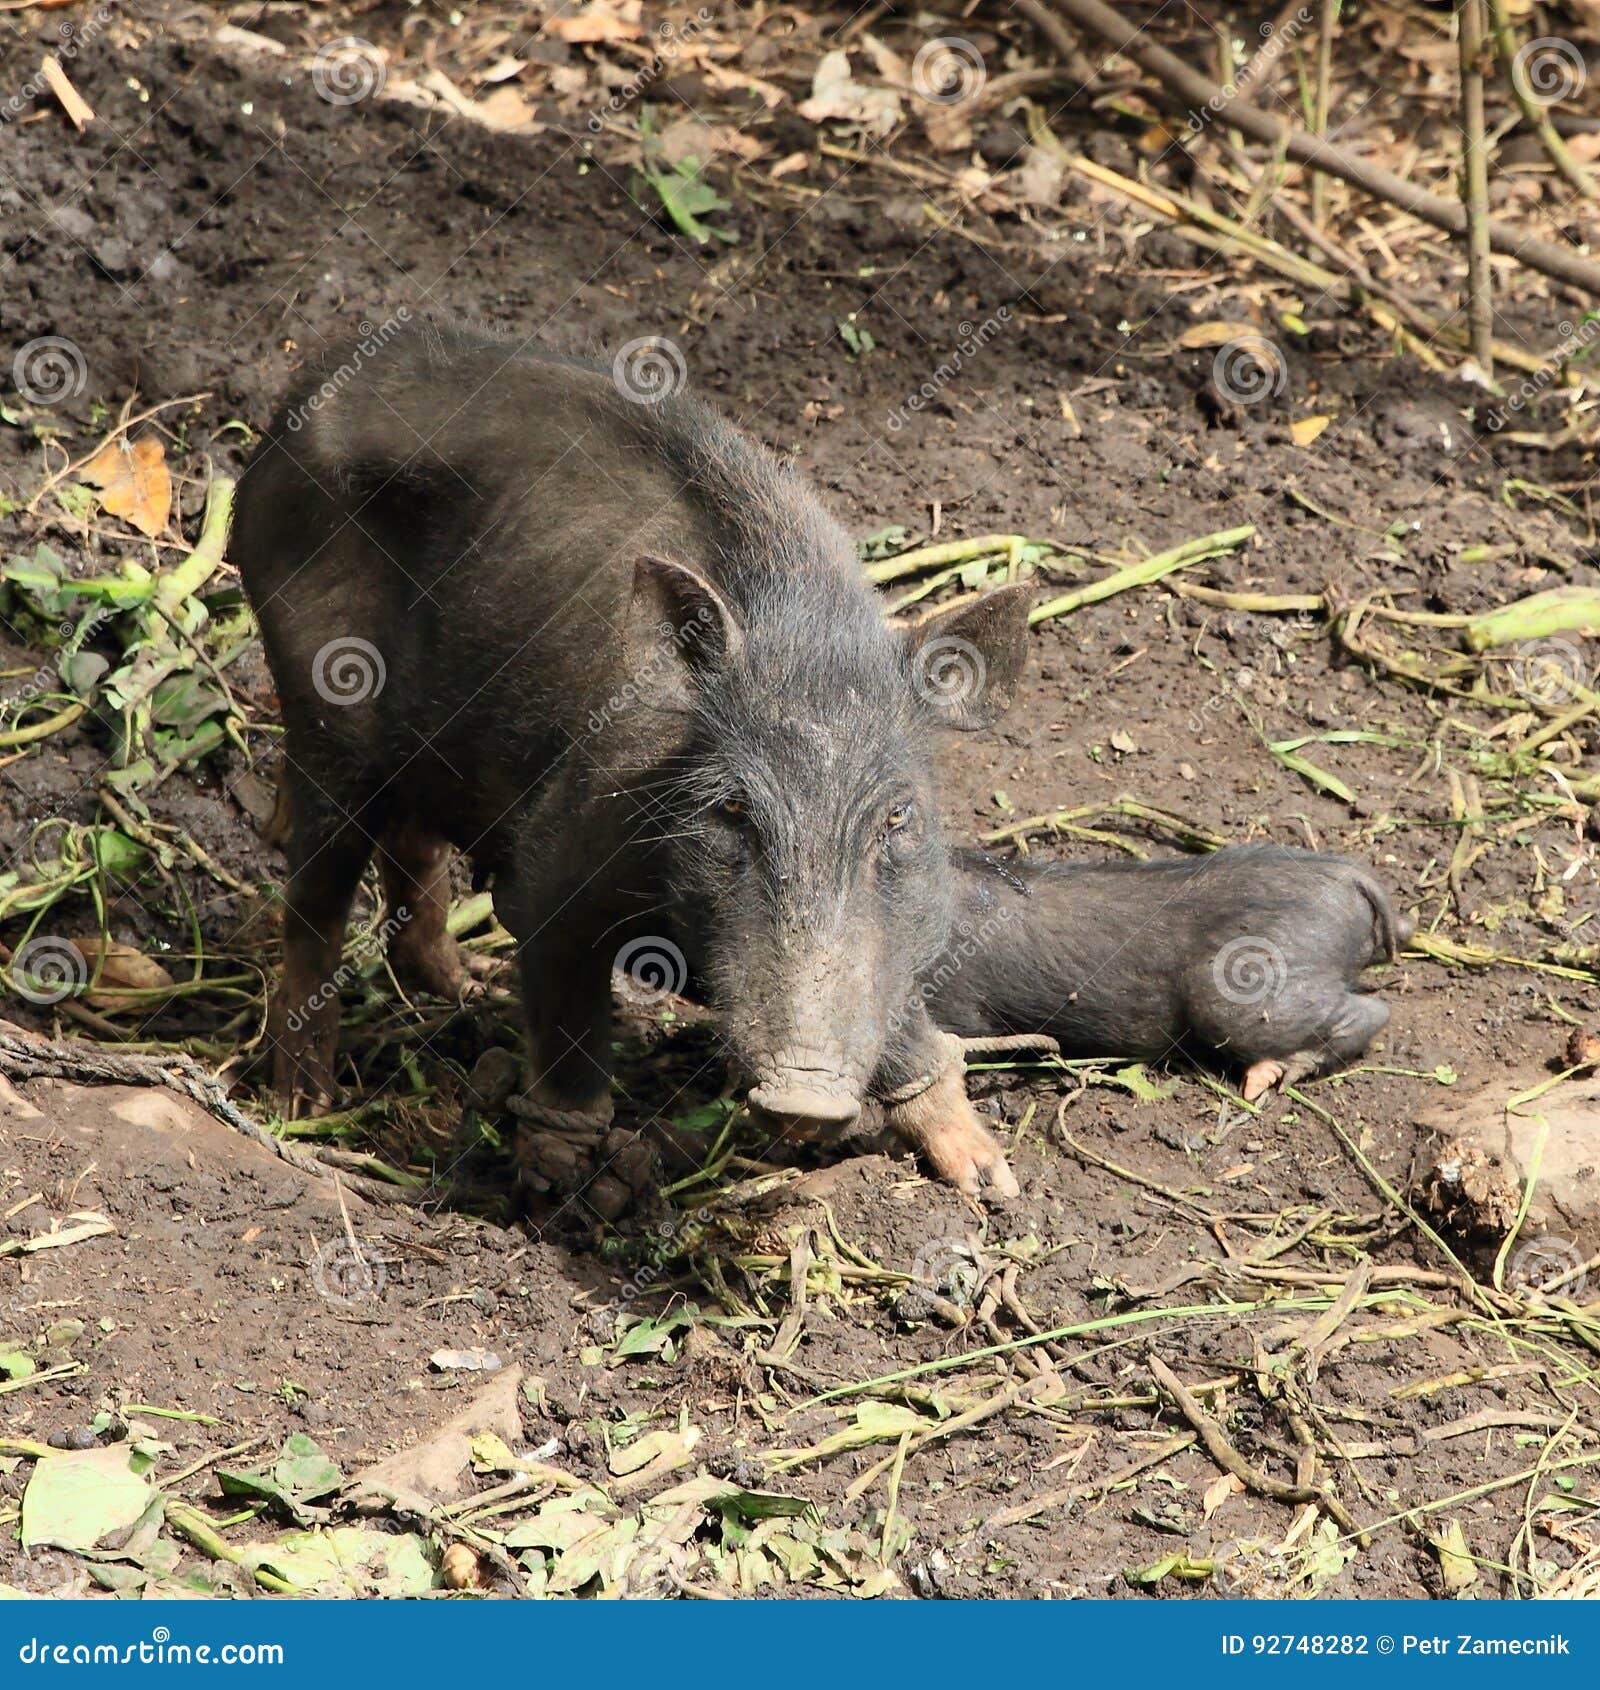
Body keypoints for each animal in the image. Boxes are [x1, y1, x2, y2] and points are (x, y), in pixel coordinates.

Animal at [231, 321, 1034, 1200]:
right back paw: (303, 1103)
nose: (804, 1096)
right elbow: (564, 1014)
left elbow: (906, 1020)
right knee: (316, 896)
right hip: (320, 701)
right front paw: (553, 1177)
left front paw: (993, 1182)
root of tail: (300, 398)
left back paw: (461, 986)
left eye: (896, 817)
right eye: (733, 809)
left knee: (410, 841)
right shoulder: (556, 864)